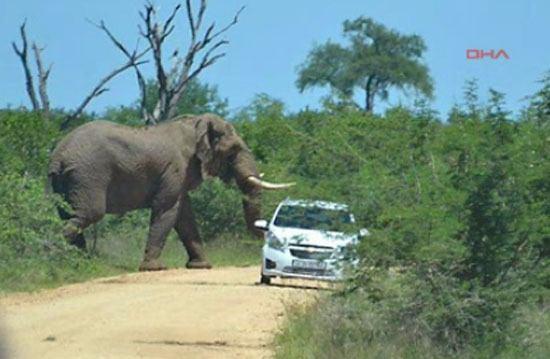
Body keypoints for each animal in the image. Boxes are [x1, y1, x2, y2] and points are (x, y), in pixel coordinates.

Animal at [49, 114, 296, 272]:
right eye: (233, 151)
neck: (197, 125)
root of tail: (59, 155)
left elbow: (186, 216)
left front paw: (201, 266)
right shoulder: (176, 168)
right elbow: (168, 210)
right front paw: (153, 268)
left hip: (66, 182)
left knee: (69, 215)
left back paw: (79, 263)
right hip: (88, 175)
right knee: (89, 214)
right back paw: (60, 258)